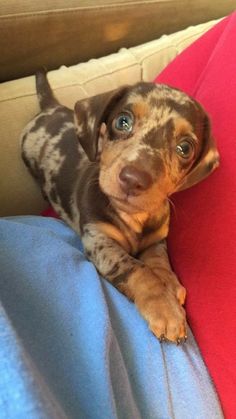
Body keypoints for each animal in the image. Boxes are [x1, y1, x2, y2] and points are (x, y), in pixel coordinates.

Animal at [20, 69, 219, 344]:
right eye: (123, 122)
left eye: (185, 148)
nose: (133, 179)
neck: (134, 216)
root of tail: (50, 107)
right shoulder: (100, 241)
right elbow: (138, 269)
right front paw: (165, 308)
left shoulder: (156, 241)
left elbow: (159, 262)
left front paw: (169, 283)